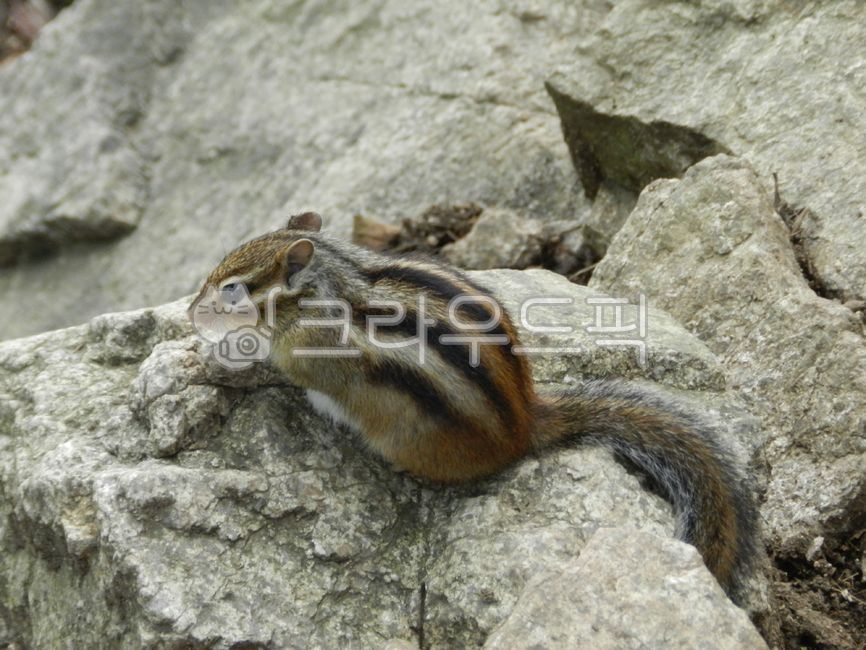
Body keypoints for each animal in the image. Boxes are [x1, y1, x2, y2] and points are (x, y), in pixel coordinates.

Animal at [190, 211, 758, 601]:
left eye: (234, 289)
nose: (195, 310)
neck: (328, 286)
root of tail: (527, 423)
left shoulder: (312, 352)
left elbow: (286, 370)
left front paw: (224, 362)